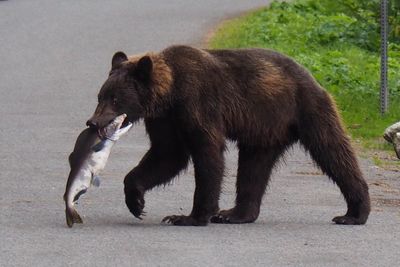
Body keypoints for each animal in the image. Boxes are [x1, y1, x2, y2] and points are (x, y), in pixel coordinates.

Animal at [88, 45, 372, 226]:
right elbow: (166, 155)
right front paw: (136, 202)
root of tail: (312, 76)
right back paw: (235, 213)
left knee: (332, 150)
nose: (93, 122)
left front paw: (189, 216)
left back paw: (353, 213)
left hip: (307, 109)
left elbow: (207, 156)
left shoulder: (198, 105)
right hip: (264, 131)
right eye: (100, 96)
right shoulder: (164, 120)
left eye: (115, 98)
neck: (170, 94)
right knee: (253, 169)